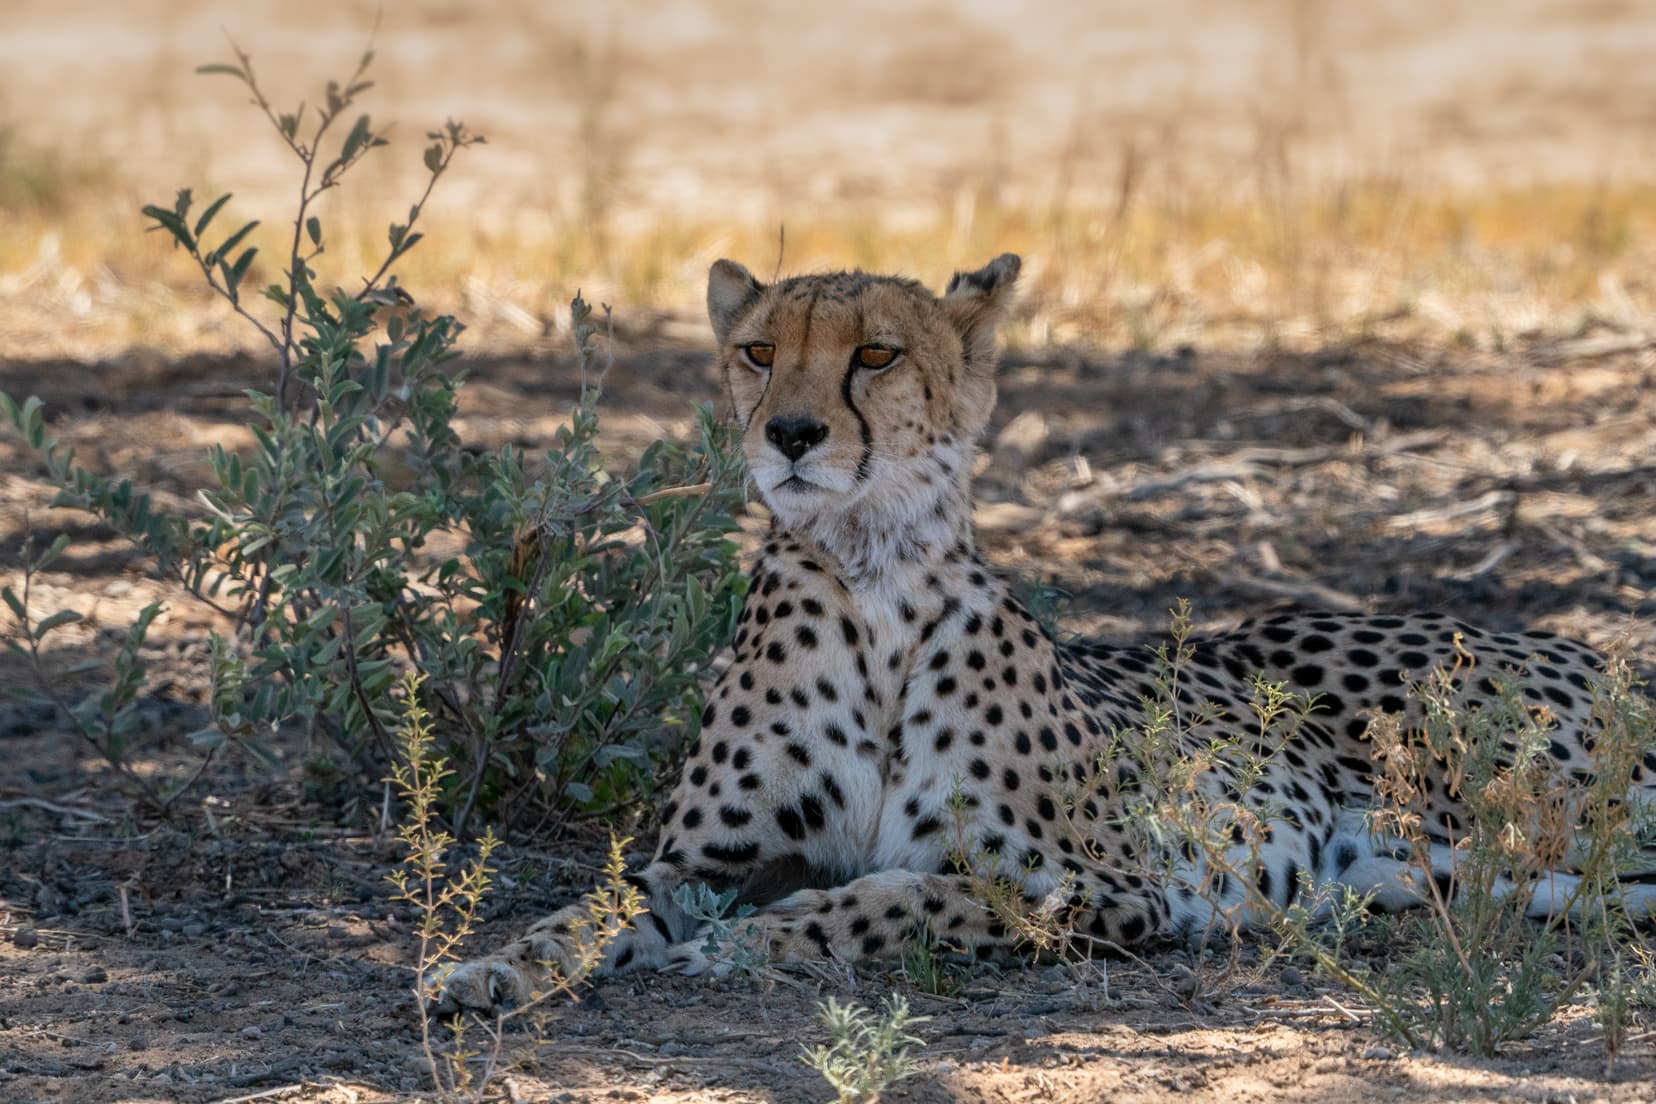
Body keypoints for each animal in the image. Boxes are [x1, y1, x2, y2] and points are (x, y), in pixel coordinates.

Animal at [430, 254, 1656, 1012]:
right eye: (757, 352)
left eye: (875, 354)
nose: (791, 433)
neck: (871, 575)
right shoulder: (702, 858)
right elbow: (592, 905)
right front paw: (485, 968)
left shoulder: (1110, 884)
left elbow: (907, 897)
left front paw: (754, 941)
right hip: (1482, 865)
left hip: (1530, 806)